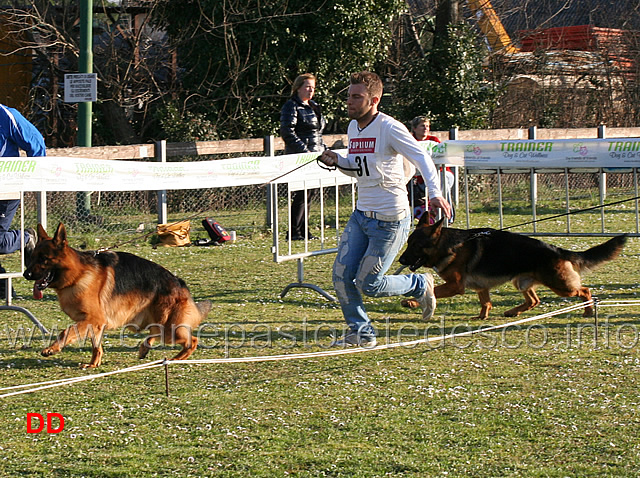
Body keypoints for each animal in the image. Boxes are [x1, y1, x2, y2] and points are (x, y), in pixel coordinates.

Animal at [23, 222, 212, 368]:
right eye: (32, 257)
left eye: (44, 259)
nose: (26, 274)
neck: (77, 275)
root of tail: (179, 283)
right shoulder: (95, 323)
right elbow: (96, 346)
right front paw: (93, 364)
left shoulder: (93, 319)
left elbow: (66, 331)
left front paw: (52, 349)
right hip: (156, 323)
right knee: (155, 334)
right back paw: (145, 348)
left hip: (169, 329)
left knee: (192, 341)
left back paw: (174, 359)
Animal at [398, 216, 628, 320]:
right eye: (408, 243)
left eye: (415, 245)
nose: (401, 260)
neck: (449, 245)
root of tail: (557, 250)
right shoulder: (481, 286)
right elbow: (486, 302)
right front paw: (482, 317)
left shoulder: (455, 286)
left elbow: (432, 291)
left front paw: (412, 302)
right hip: (521, 282)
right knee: (534, 300)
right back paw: (512, 312)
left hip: (562, 286)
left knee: (585, 290)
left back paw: (588, 310)